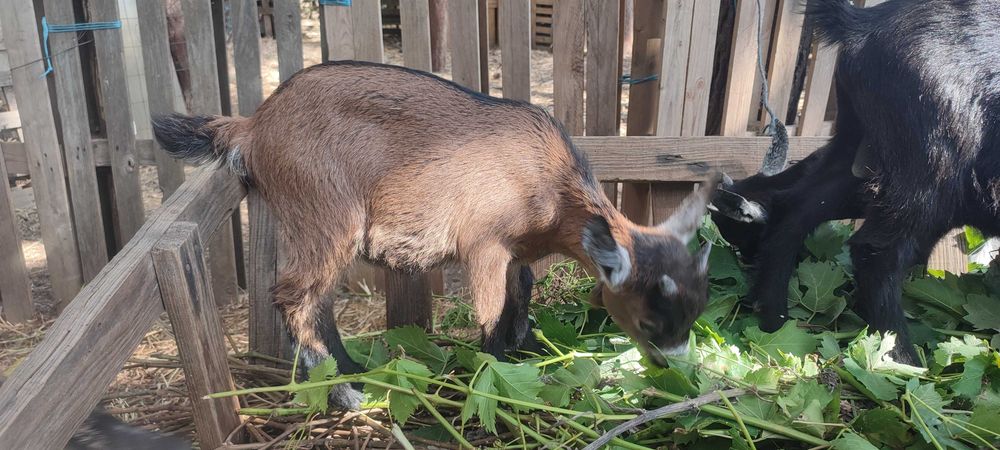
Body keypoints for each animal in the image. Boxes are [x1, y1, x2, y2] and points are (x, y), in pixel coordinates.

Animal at [153, 61, 717, 409]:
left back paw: (354, 370)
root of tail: (253, 126)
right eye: (649, 321)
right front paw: (495, 375)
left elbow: (522, 289)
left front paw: (525, 346)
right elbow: (490, 310)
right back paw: (344, 392)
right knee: (294, 296)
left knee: (318, 302)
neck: (550, 184)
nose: (677, 373)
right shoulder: (485, 246)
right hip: (323, 214)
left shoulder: (517, 251)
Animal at [712, 0, 1000, 363]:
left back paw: (774, 321)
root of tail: (861, 22)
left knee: (797, 210)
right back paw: (900, 358)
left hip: (861, 149)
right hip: (932, 168)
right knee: (876, 252)